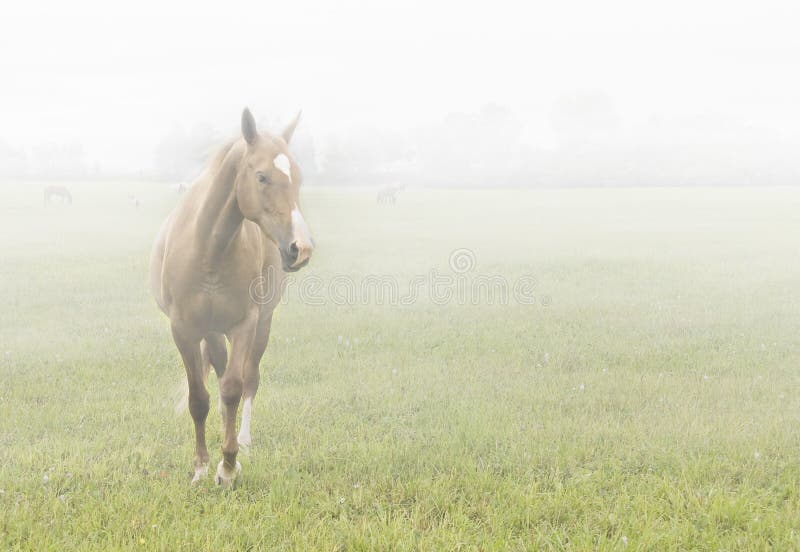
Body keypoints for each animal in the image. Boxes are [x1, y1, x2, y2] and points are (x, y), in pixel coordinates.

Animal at [149, 108, 313, 486]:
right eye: (262, 176)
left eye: (297, 177)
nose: (300, 248)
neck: (209, 249)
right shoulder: (184, 331)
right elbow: (199, 398)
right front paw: (200, 466)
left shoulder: (244, 324)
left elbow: (234, 388)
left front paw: (227, 465)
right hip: (210, 331)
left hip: (262, 323)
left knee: (247, 378)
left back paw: (243, 437)